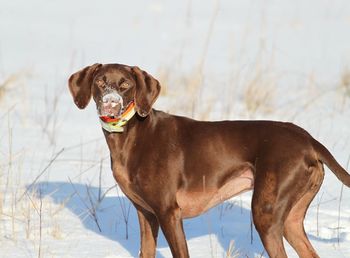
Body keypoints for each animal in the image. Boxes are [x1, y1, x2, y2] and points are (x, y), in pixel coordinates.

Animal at [68, 63, 350, 258]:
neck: (132, 135)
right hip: (290, 220)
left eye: (125, 84)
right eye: (100, 82)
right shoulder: (146, 214)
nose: (111, 104)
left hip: (266, 214)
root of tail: (308, 140)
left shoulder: (169, 213)